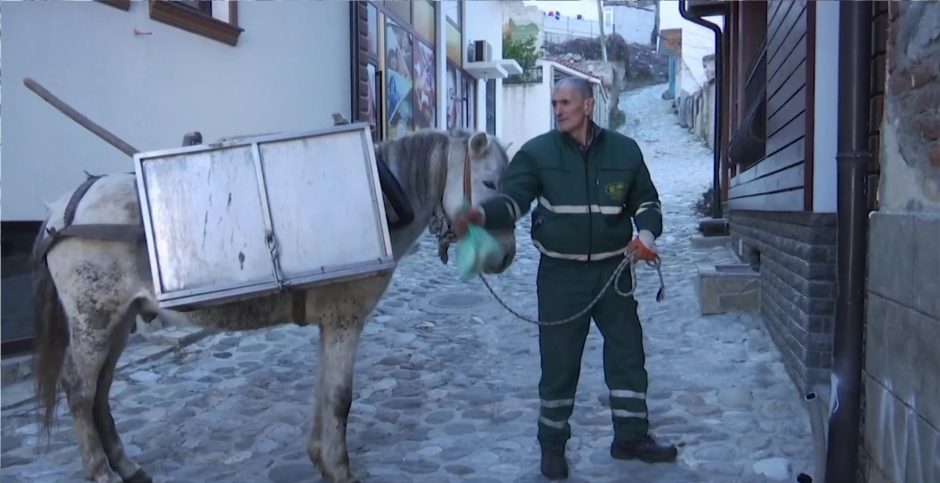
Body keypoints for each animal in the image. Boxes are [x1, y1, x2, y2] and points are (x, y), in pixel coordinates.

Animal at [31, 130, 516, 483]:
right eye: (489, 183)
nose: (506, 255)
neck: (383, 198)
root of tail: (65, 210)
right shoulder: (345, 320)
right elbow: (340, 396)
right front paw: (339, 469)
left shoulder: (331, 324)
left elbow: (324, 389)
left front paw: (320, 457)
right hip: (93, 320)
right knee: (79, 389)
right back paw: (101, 472)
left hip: (119, 319)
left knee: (100, 391)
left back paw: (125, 465)